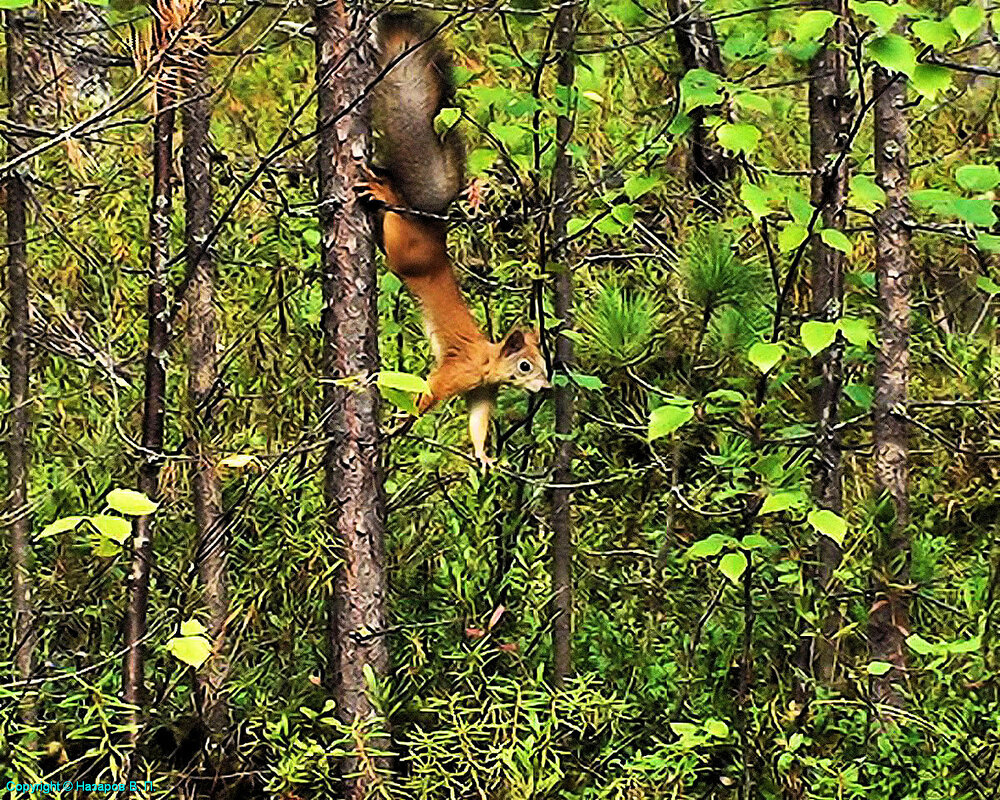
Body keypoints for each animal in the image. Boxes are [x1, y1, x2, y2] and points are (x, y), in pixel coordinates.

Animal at [358, 12, 548, 468]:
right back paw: (387, 195)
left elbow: (478, 423)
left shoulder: (482, 392)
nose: (546, 388)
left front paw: (484, 457)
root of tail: (435, 227)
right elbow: (427, 394)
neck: (488, 361)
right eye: (525, 367)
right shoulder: (457, 373)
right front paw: (401, 421)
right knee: (396, 222)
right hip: (407, 249)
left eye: (543, 363)